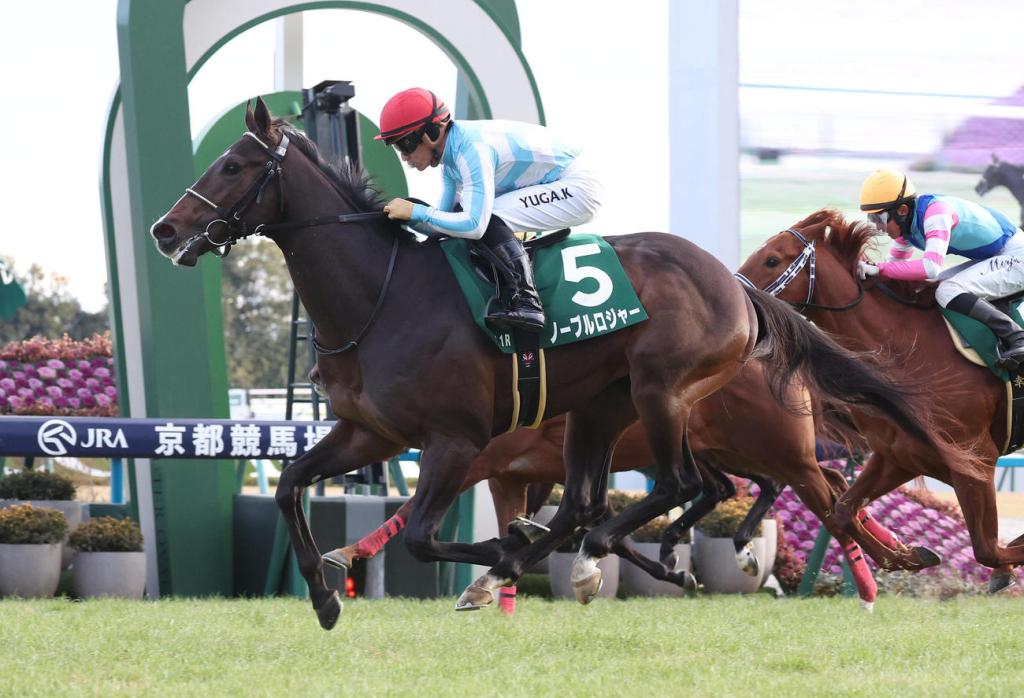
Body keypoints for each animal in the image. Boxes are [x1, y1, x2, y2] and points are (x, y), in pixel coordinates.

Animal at [150, 98, 973, 628]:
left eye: (233, 165)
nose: (164, 230)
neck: (380, 297)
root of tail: (734, 283)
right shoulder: (372, 434)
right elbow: (292, 484)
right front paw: (325, 597)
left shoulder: (454, 441)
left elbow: (420, 533)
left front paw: (493, 554)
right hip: (601, 407)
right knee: (594, 501)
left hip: (662, 391)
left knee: (681, 486)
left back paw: (565, 559)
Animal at [736, 208, 1022, 589]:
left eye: (772, 259)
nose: (735, 293)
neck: (906, 351)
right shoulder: (901, 455)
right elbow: (843, 512)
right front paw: (912, 556)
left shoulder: (976, 460)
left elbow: (988, 549)